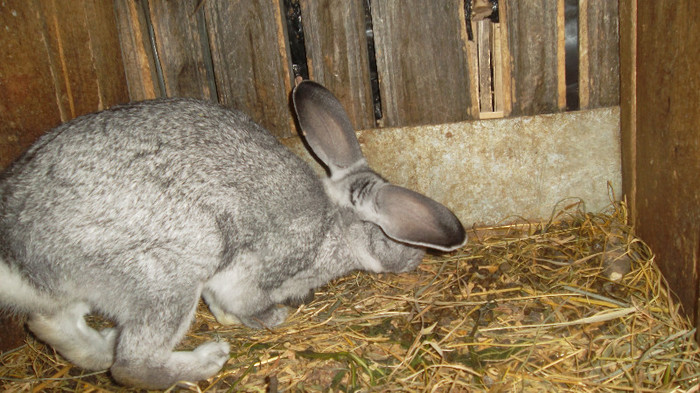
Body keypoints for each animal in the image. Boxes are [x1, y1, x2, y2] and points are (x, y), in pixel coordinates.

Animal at [1, 81, 470, 388]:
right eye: (397, 238)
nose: (417, 259)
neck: (334, 222)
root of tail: (17, 242)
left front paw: (230, 320)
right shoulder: (267, 264)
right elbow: (247, 300)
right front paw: (270, 319)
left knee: (51, 323)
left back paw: (103, 344)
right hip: (171, 272)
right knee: (131, 365)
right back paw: (208, 359)